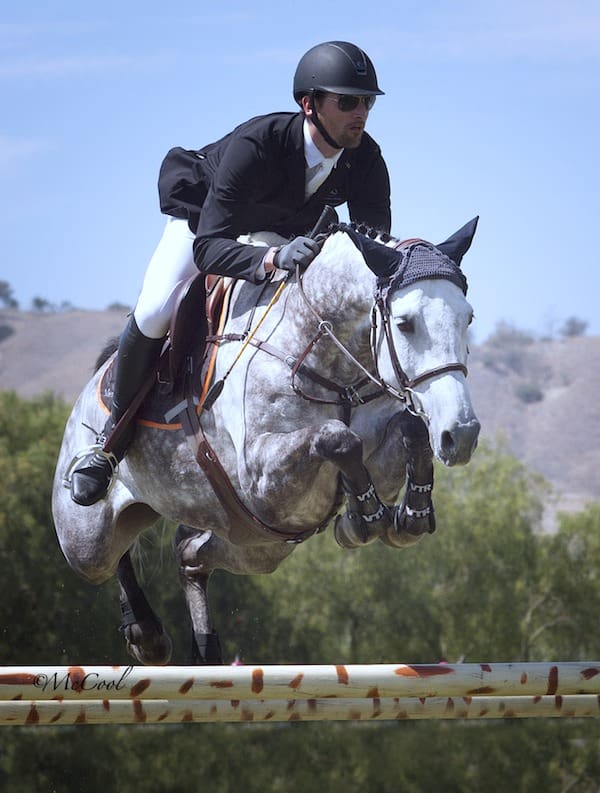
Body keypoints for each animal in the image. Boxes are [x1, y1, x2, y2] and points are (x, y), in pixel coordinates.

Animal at [52, 218, 481, 665]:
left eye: (468, 318)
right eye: (405, 323)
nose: (462, 433)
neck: (329, 362)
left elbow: (410, 430)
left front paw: (407, 516)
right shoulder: (262, 480)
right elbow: (338, 437)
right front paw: (365, 517)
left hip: (256, 545)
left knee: (188, 553)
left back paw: (206, 651)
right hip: (86, 540)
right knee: (110, 556)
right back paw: (146, 633)